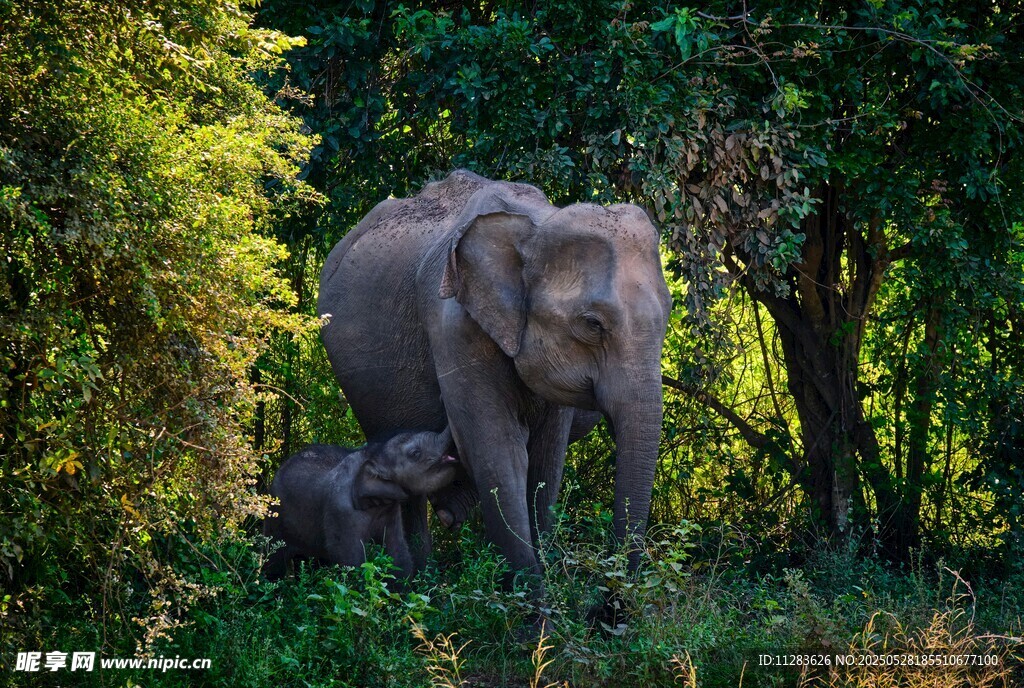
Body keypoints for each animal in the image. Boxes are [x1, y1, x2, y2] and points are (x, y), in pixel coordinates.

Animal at [262, 427, 457, 580]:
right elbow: (351, 559)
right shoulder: (340, 511)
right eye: (415, 454)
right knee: (274, 559)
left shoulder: (390, 509)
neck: (373, 456)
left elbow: (397, 550)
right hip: (275, 515)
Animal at [317, 170, 672, 581]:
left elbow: (546, 459)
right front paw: (531, 595)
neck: (536, 224)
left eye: (668, 314)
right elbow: (498, 450)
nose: (614, 593)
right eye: (593, 324)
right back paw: (420, 579)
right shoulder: (454, 325)